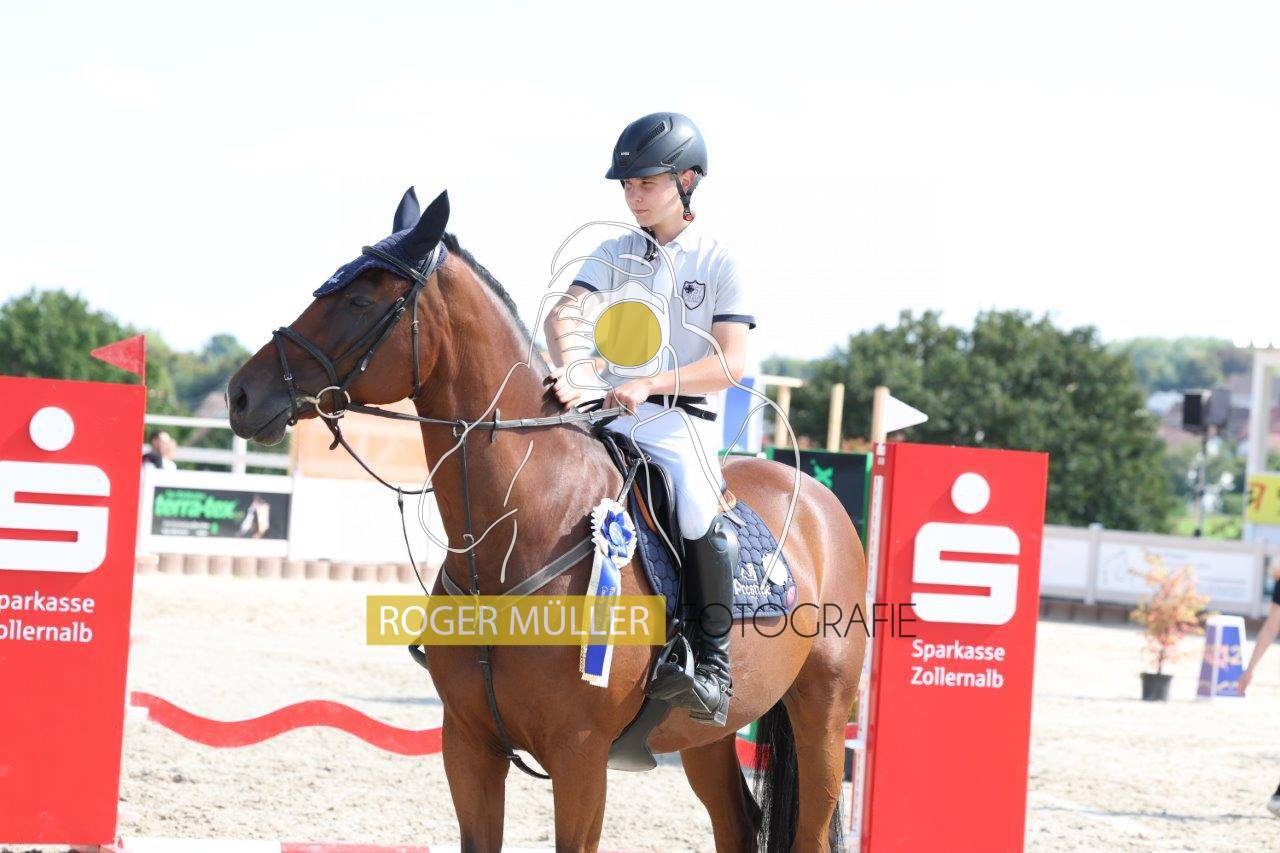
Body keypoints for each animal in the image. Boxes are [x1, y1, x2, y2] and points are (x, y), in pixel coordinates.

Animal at [226, 188, 866, 852]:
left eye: (359, 300)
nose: (240, 395)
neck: (521, 530)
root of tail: (816, 498)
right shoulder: (468, 745)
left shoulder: (579, 757)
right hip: (705, 736)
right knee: (736, 822)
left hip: (822, 710)